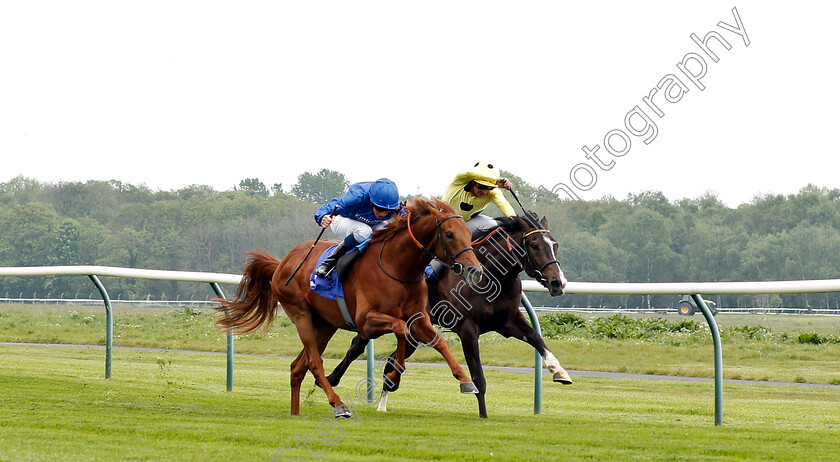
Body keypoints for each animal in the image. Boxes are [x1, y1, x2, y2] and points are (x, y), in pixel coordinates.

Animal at [213, 199, 482, 418]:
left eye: (468, 233)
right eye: (449, 234)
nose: (474, 269)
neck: (398, 268)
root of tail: (282, 262)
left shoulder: (419, 317)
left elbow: (439, 341)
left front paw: (466, 381)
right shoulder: (367, 321)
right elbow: (400, 328)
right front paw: (394, 375)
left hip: (324, 324)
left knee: (298, 367)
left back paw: (295, 412)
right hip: (300, 314)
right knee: (314, 362)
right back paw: (339, 405)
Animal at [326, 212, 572, 418]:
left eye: (555, 245)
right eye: (534, 245)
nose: (558, 283)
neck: (492, 276)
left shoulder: (508, 322)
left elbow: (537, 338)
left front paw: (560, 372)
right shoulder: (468, 329)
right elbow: (479, 377)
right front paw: (483, 416)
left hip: (413, 330)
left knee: (387, 361)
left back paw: (379, 401)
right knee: (358, 345)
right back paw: (333, 380)